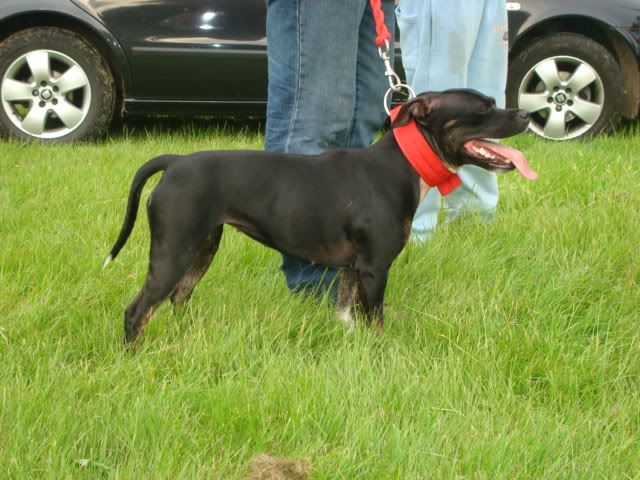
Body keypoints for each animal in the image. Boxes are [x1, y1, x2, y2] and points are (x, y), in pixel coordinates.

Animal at [104, 89, 536, 343]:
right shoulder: (374, 269)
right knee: (137, 311)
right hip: (173, 251)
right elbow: (375, 321)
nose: (526, 114)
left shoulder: (352, 268)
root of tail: (174, 162)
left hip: (202, 247)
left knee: (179, 296)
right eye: (483, 109)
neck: (403, 165)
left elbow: (346, 313)